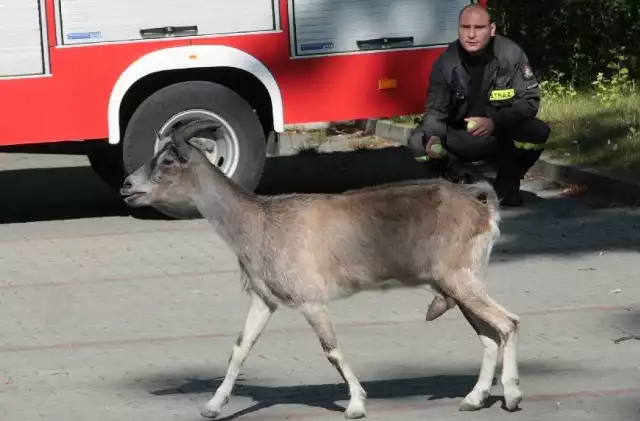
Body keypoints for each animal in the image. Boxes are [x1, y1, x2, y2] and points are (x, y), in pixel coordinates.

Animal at [120, 120, 520, 418]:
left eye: (168, 162)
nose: (127, 186)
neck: (260, 223)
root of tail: (482, 207)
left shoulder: (311, 300)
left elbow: (332, 350)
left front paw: (356, 404)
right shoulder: (264, 300)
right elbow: (240, 349)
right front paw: (213, 405)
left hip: (459, 278)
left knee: (507, 324)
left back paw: (513, 396)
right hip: (456, 284)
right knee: (488, 336)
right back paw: (474, 399)